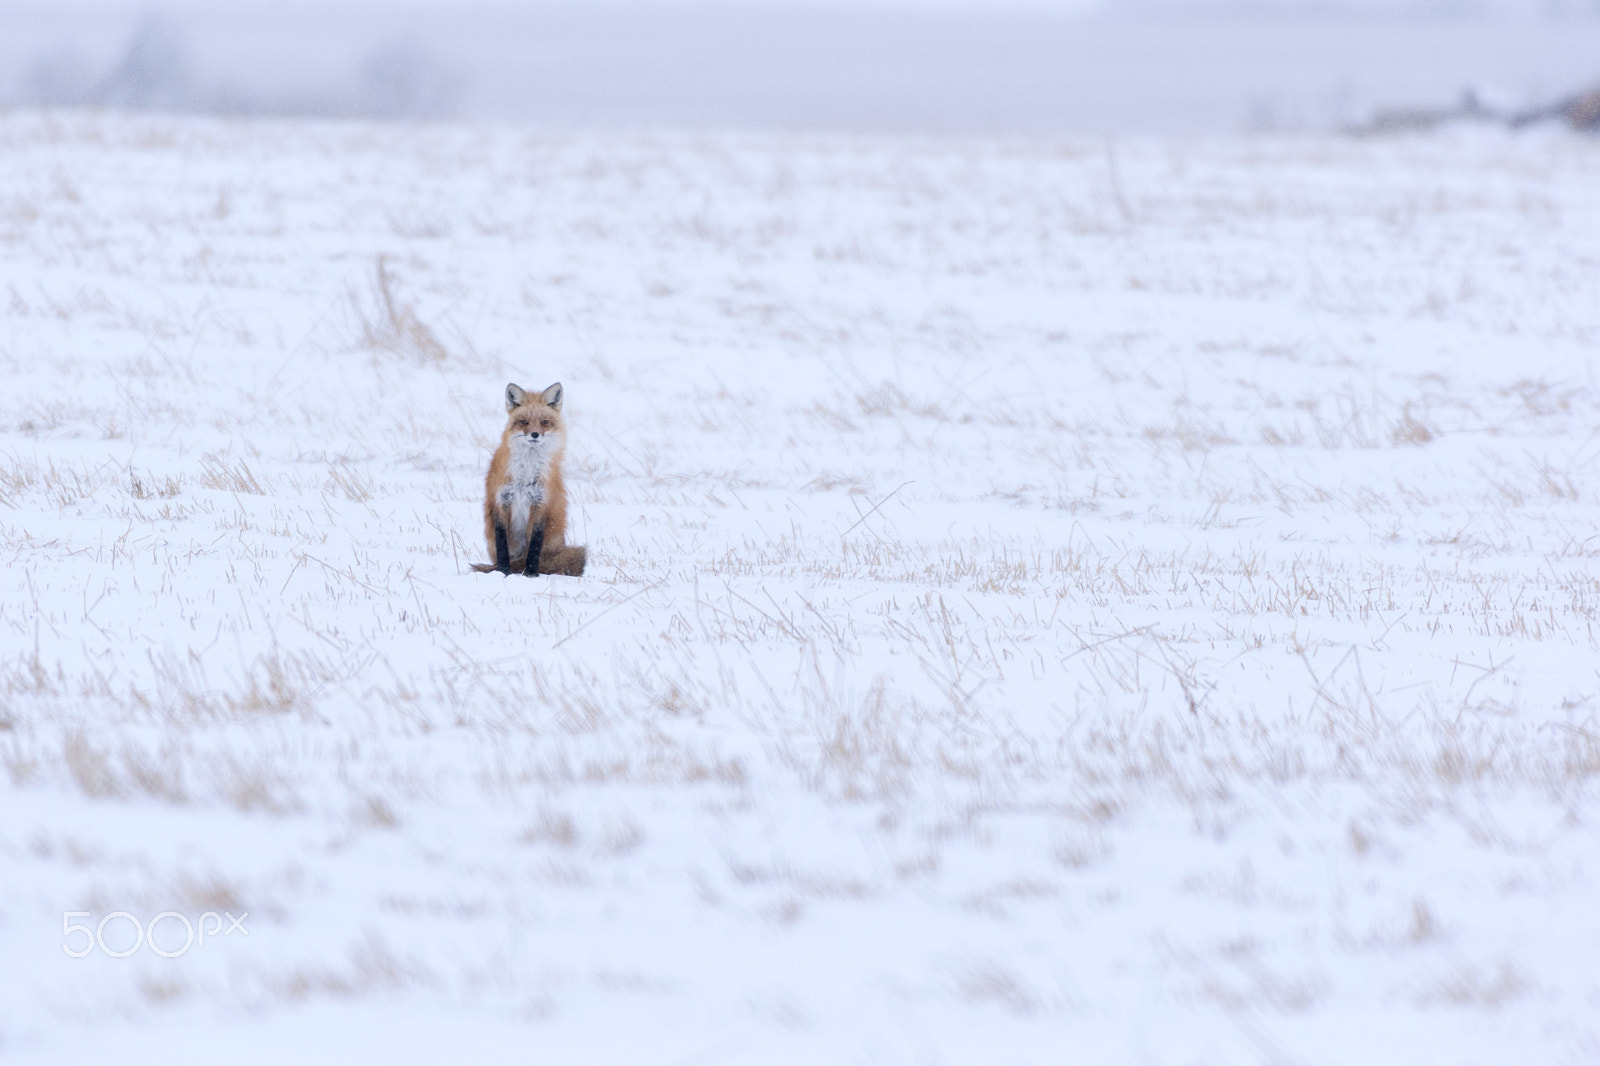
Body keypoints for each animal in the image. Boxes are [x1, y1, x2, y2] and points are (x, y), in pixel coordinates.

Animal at [470, 381, 587, 577]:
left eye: (544, 422)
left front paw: (531, 573)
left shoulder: (540, 503)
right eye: (523, 421)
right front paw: (503, 571)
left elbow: (535, 544)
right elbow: (502, 544)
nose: (534, 434)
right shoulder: (501, 501)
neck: (525, 474)